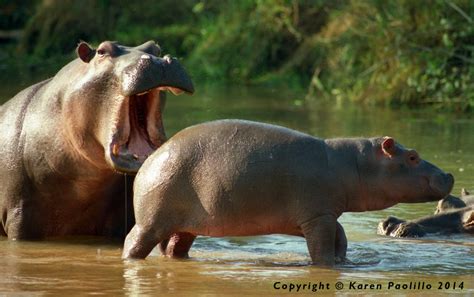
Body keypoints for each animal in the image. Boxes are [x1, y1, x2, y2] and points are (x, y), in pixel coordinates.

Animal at [121, 119, 452, 264]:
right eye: (413, 157)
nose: (448, 174)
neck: (353, 163)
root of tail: (150, 158)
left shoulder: (317, 215)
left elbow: (340, 234)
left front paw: (343, 260)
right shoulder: (317, 216)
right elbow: (323, 245)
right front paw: (327, 265)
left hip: (185, 224)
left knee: (174, 247)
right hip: (151, 220)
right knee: (133, 241)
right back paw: (129, 260)